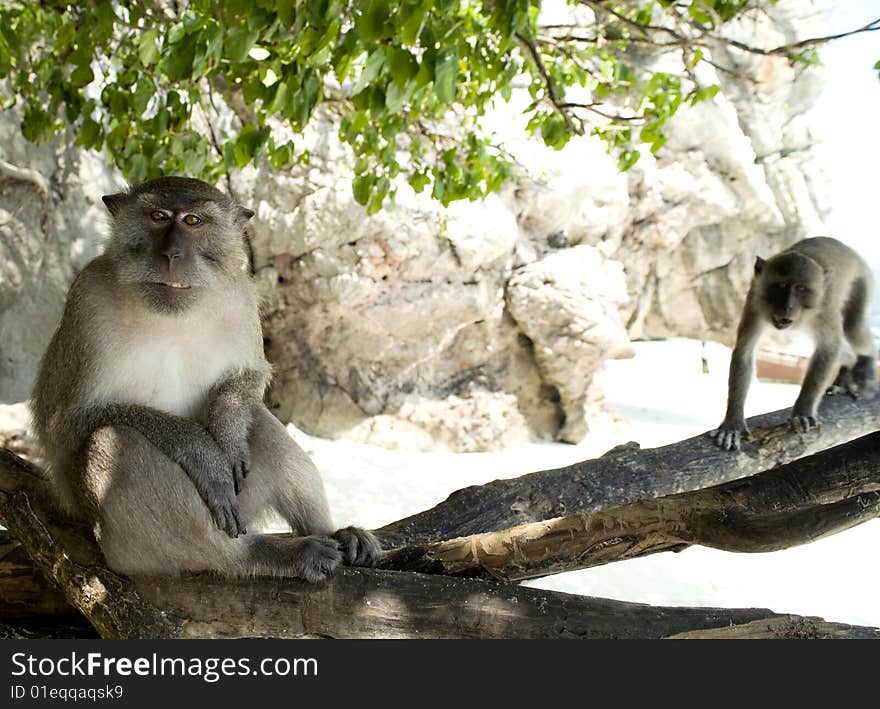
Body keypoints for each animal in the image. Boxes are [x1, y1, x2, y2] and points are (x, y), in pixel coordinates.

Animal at [31, 177, 382, 580]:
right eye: (158, 216)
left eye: (193, 221)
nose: (171, 255)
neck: (171, 315)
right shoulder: (86, 301)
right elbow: (66, 425)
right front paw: (203, 452)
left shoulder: (241, 295)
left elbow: (249, 376)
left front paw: (225, 431)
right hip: (135, 550)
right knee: (113, 440)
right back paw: (261, 555)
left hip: (243, 505)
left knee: (257, 418)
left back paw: (334, 533)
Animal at [712, 235, 876, 450]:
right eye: (781, 286)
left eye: (801, 288)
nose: (787, 306)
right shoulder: (755, 299)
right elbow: (745, 351)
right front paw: (733, 423)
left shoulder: (825, 304)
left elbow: (828, 348)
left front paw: (803, 411)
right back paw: (847, 372)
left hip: (862, 281)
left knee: (853, 328)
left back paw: (867, 366)